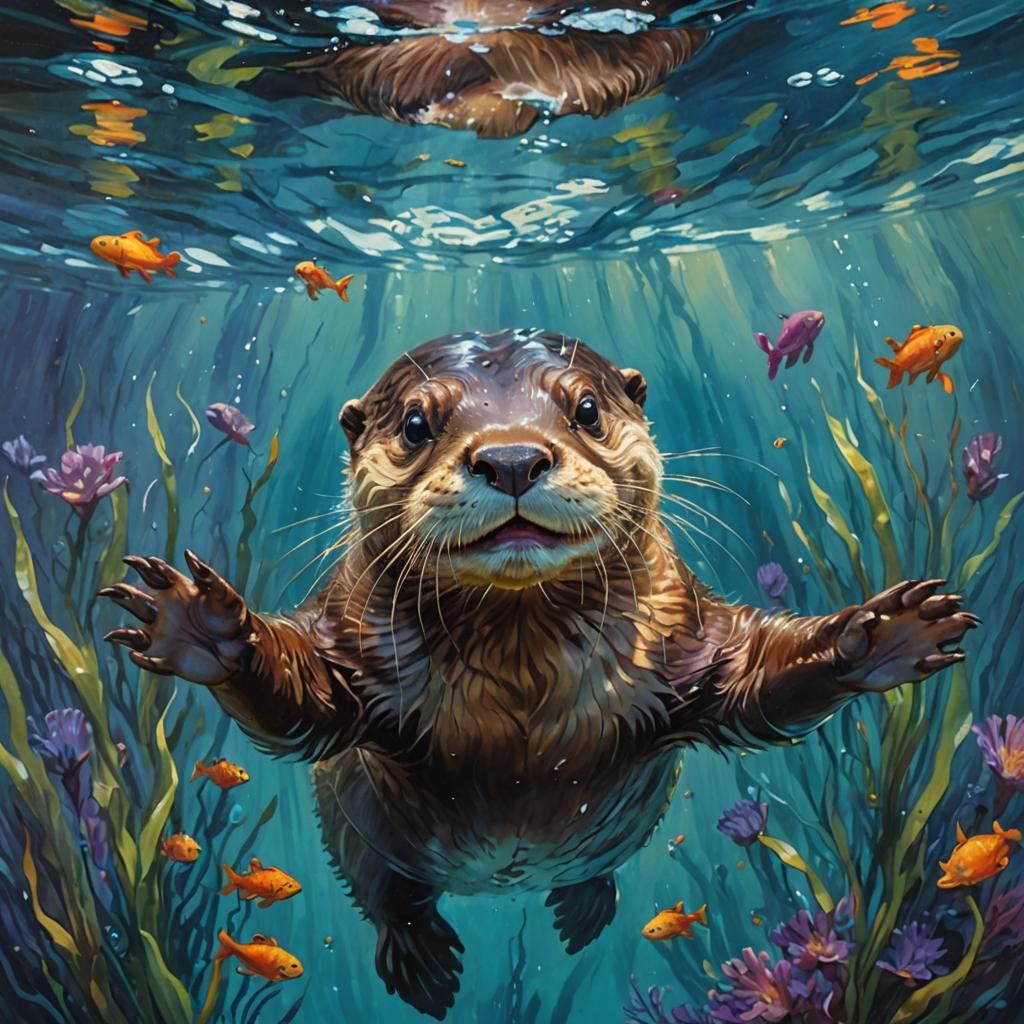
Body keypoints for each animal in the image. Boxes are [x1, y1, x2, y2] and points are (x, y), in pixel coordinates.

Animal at [102, 329, 977, 1019]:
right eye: (416, 423)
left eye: (586, 410)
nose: (513, 456)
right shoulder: (353, 649)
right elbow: (305, 699)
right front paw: (209, 629)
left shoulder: (690, 641)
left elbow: (759, 683)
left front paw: (881, 634)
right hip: (356, 835)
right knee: (387, 894)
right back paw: (423, 961)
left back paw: (580, 908)